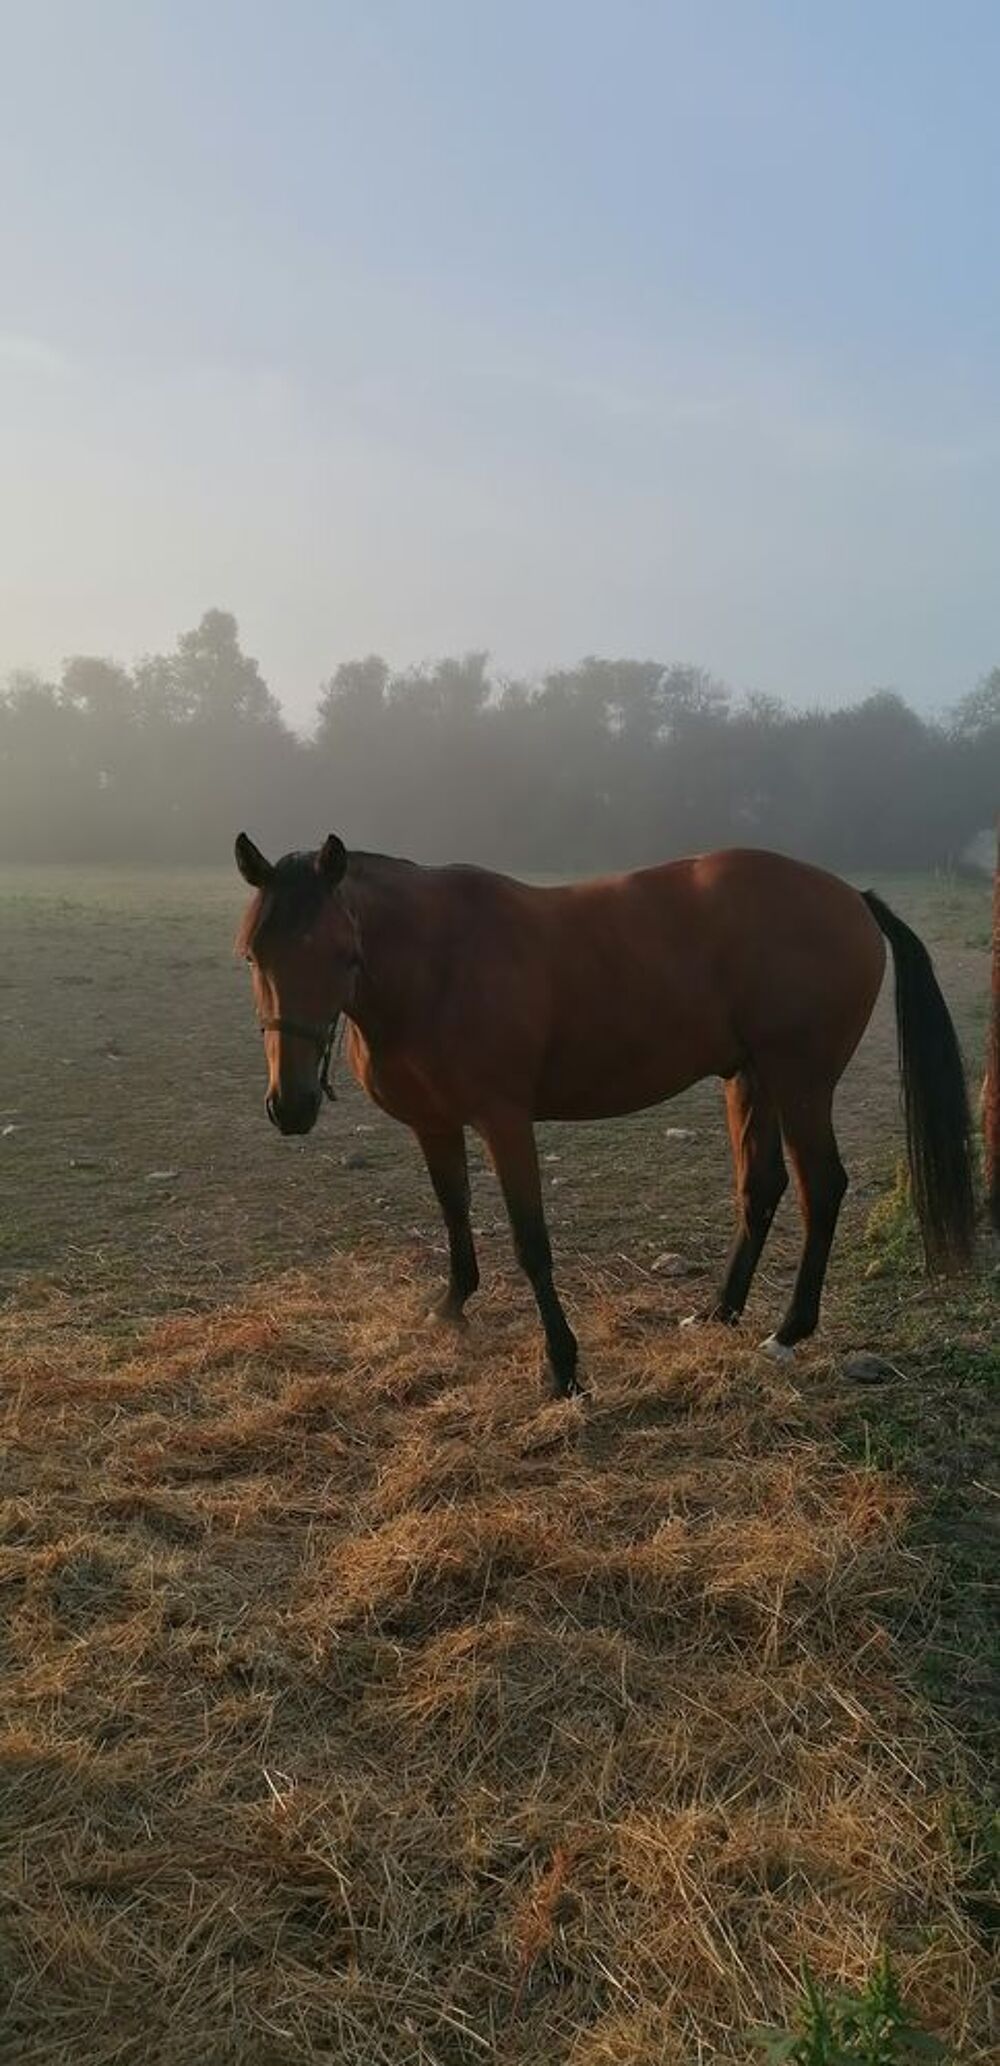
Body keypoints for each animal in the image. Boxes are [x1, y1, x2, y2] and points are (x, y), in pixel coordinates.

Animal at [234, 834, 975, 1398]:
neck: (438, 963)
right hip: (753, 1079)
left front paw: (563, 1368)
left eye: (343, 953)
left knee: (822, 1188)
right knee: (760, 1189)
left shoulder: (505, 1121)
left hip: (801, 1083)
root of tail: (851, 897)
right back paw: (719, 1311)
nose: (290, 1105)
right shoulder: (435, 1125)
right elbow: (454, 1214)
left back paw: (788, 1332)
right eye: (254, 954)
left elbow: (531, 1243)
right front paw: (450, 1308)